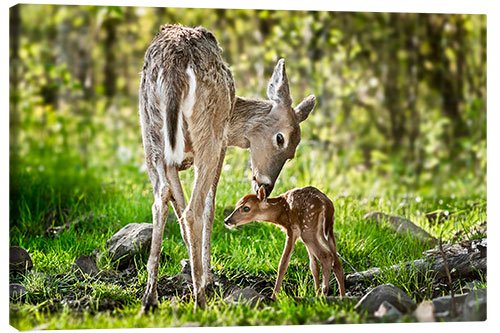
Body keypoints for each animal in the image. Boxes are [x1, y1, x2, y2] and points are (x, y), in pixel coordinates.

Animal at [139, 24, 314, 310]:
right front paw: (207, 279)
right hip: (208, 133)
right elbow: (209, 207)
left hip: (150, 132)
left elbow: (176, 205)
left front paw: (194, 270)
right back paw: (200, 300)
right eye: (281, 139)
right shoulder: (222, 144)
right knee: (194, 210)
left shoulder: (172, 162)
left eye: (292, 154)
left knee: (160, 200)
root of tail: (174, 67)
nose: (265, 185)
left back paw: (149, 298)